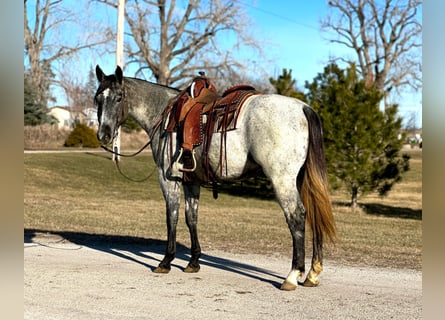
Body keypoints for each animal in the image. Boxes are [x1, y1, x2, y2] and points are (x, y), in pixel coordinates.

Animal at [94, 65, 336, 290]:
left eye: (119, 97)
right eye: (98, 99)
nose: (104, 135)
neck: (164, 113)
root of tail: (303, 108)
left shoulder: (168, 179)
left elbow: (172, 217)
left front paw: (166, 261)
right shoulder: (191, 181)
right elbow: (191, 217)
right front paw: (193, 262)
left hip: (282, 180)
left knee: (297, 216)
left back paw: (293, 275)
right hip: (300, 180)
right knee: (313, 213)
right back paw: (312, 274)